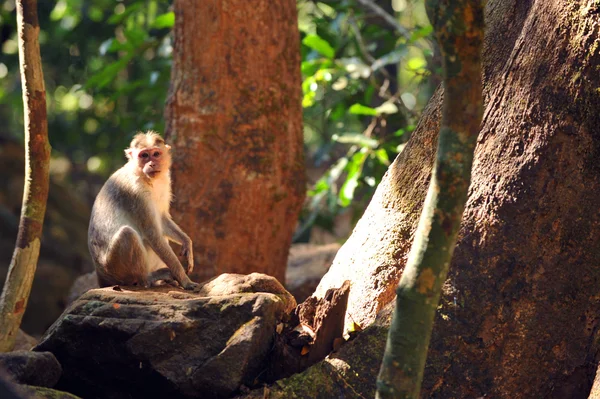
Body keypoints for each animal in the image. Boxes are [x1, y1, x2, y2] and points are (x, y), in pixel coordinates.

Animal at [87, 131, 199, 290]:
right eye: (144, 155)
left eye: (156, 154)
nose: (151, 163)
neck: (146, 178)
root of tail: (102, 276)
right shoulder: (135, 192)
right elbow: (152, 233)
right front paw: (185, 280)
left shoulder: (164, 184)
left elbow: (162, 220)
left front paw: (186, 242)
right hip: (113, 268)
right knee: (127, 234)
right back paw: (147, 279)